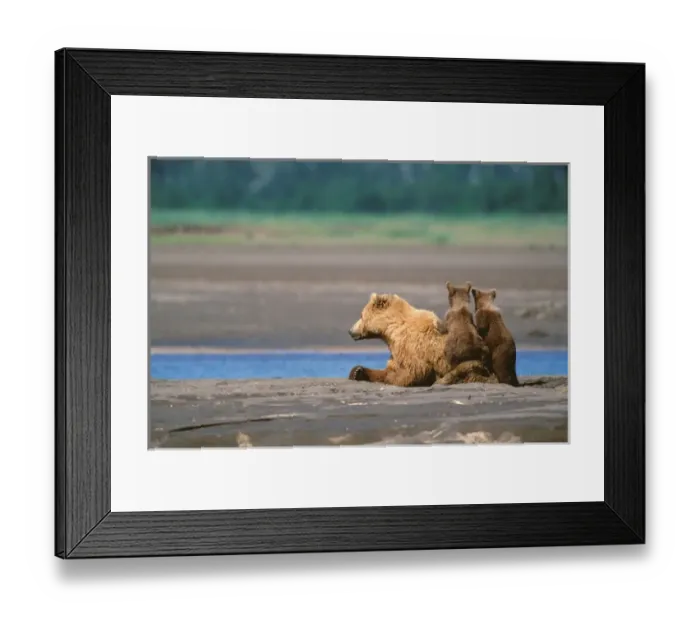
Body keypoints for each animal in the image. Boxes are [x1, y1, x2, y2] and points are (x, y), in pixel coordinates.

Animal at [347, 292, 494, 387]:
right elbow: (391, 367)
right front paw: (357, 371)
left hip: (473, 358)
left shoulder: (410, 345)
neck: (391, 329)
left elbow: (412, 370)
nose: (350, 331)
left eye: (361, 315)